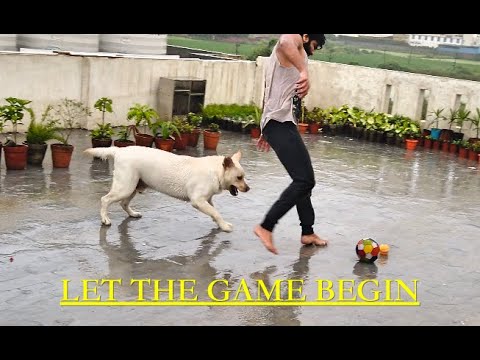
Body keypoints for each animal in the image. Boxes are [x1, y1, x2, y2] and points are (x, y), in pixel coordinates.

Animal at [85, 146, 251, 232]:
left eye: (243, 177)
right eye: (239, 177)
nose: (248, 188)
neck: (216, 172)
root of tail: (119, 150)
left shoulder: (207, 200)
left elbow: (215, 212)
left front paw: (220, 223)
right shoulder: (197, 201)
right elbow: (215, 212)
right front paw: (224, 226)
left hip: (134, 186)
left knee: (123, 203)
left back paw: (133, 214)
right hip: (125, 187)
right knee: (105, 199)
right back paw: (105, 219)